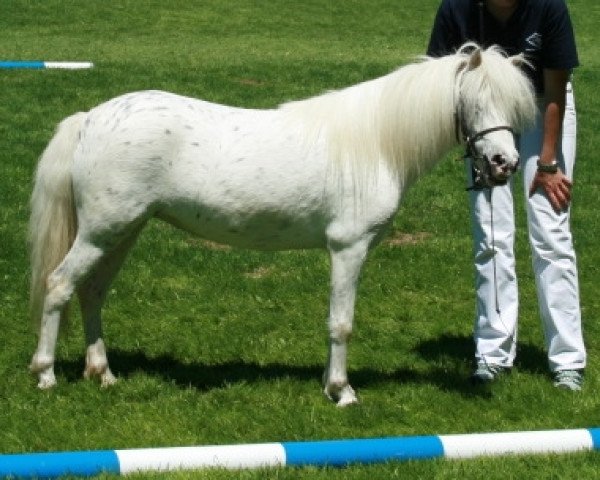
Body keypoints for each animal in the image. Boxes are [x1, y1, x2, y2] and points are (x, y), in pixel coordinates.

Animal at [29, 45, 536, 404]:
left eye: (513, 106)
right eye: (473, 101)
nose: (504, 164)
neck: (374, 143)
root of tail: (89, 119)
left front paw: (332, 385)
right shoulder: (348, 248)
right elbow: (341, 323)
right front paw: (342, 392)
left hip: (122, 232)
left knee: (93, 292)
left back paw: (103, 375)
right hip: (102, 232)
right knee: (59, 285)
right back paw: (46, 375)